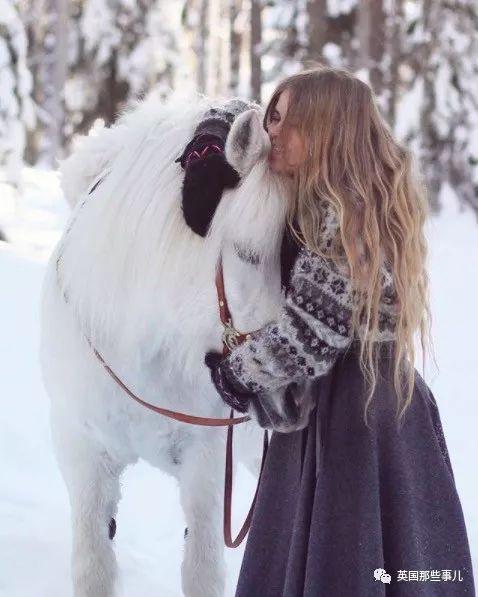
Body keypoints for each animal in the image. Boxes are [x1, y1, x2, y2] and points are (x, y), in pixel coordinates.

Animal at [39, 94, 290, 596]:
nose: (292, 393)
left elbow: (202, 569)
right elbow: (94, 565)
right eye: (247, 253)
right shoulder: (82, 449)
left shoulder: (208, 462)